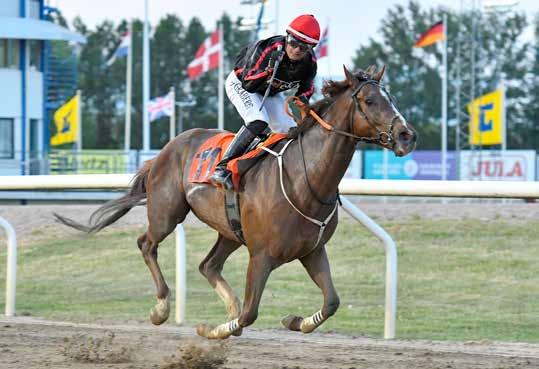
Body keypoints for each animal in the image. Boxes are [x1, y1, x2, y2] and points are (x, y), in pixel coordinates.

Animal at [54, 64, 418, 338]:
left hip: (229, 230)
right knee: (147, 244)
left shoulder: (312, 250)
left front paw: (294, 321)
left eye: (391, 97)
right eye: (369, 100)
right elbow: (250, 313)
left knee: (208, 265)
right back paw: (161, 307)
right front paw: (212, 330)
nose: (407, 135)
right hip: (167, 212)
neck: (305, 178)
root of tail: (167, 148)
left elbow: (331, 302)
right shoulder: (261, 255)